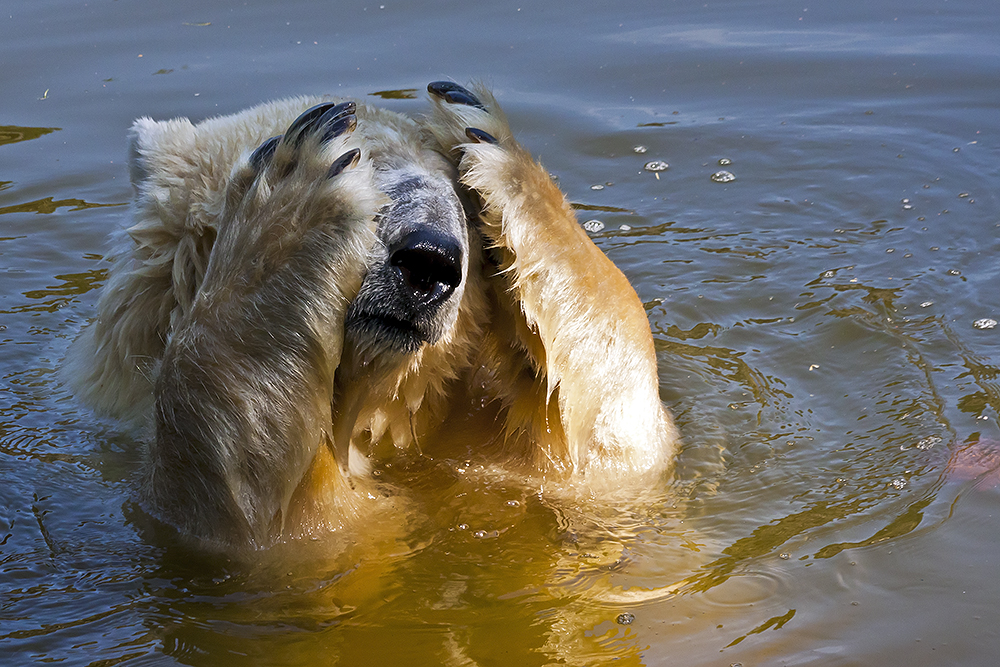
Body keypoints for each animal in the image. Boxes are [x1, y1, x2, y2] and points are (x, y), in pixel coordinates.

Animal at [64, 82, 680, 548]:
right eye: (356, 169)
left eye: (461, 207)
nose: (428, 262)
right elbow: (262, 521)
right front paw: (290, 211)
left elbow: (617, 451)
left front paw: (485, 137)